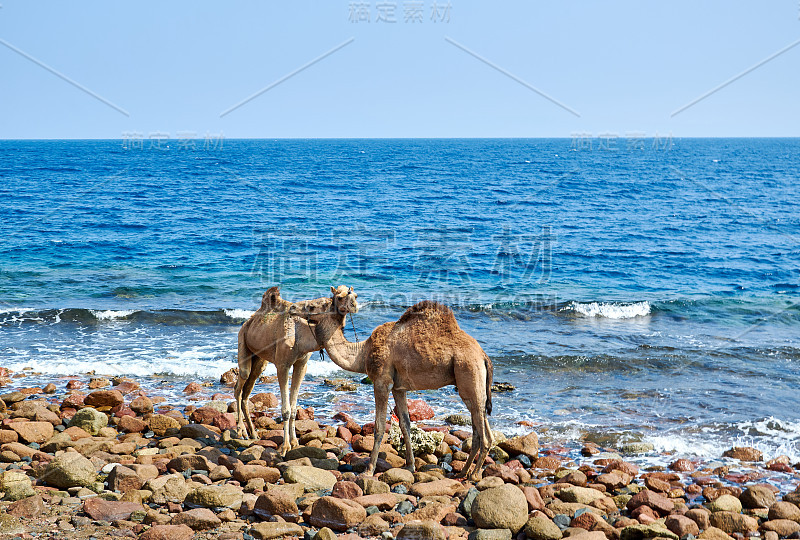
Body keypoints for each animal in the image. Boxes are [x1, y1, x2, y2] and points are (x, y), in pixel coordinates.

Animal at [234, 284, 328, 454]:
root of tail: (249, 320)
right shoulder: (282, 365)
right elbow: (286, 410)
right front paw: (285, 447)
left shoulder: (301, 365)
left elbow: (294, 407)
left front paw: (295, 442)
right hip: (242, 340)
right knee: (239, 386)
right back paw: (241, 431)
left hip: (260, 359)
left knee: (247, 391)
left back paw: (253, 434)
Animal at [296, 284, 490, 478]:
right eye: (340, 297)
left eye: (313, 306)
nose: (294, 309)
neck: (362, 353)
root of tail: (483, 356)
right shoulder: (399, 388)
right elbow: (405, 425)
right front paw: (410, 466)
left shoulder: (382, 382)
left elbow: (380, 426)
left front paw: (369, 470)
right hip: (470, 382)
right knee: (478, 428)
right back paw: (462, 472)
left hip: (469, 372)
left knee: (485, 433)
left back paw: (474, 475)